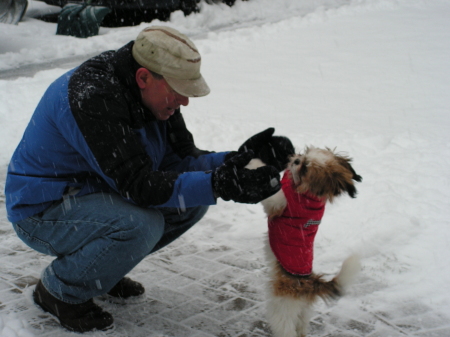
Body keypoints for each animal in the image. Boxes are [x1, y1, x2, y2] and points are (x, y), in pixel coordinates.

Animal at [246, 145, 362, 336]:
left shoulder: (279, 205)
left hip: (281, 306)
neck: (307, 194)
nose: (296, 160)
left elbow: (275, 195)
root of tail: (311, 284)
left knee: (286, 328)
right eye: (306, 154)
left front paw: (254, 163)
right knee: (301, 324)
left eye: (306, 169)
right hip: (302, 309)